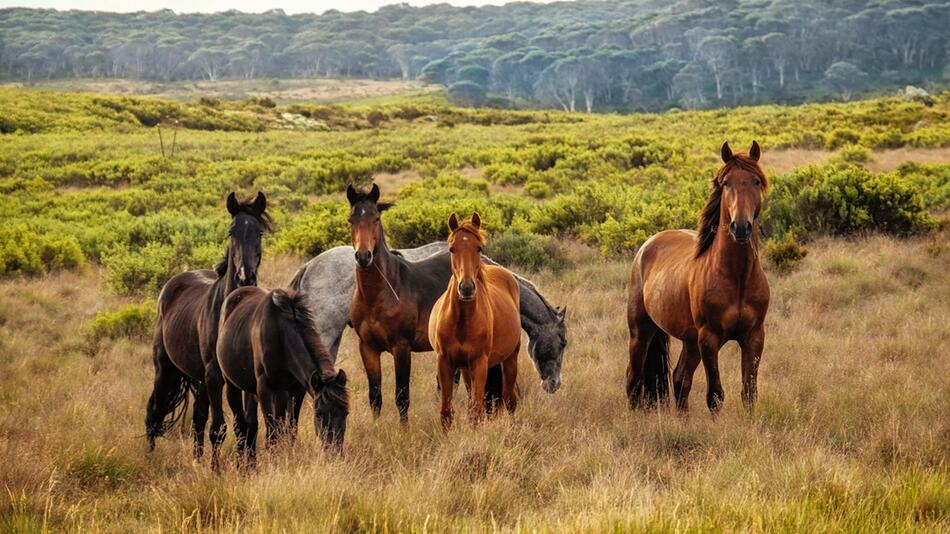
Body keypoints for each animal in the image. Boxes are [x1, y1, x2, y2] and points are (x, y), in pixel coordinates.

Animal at [146, 191, 272, 458]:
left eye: (259, 232)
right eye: (231, 231)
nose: (245, 277)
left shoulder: (244, 378)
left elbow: (248, 426)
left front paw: (247, 463)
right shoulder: (215, 375)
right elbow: (219, 428)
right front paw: (218, 468)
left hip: (199, 379)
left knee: (198, 418)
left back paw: (197, 459)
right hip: (165, 370)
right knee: (154, 411)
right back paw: (149, 457)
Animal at [216, 284, 350, 468]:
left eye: (346, 413)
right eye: (318, 414)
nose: (334, 453)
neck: (281, 335)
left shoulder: (296, 390)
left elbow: (289, 430)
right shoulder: (264, 389)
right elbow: (272, 434)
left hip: (263, 391)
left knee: (253, 424)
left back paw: (251, 464)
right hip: (232, 385)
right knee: (240, 426)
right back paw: (243, 466)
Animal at [430, 215, 520, 432]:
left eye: (479, 247)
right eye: (452, 248)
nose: (467, 288)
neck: (462, 321)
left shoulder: (480, 363)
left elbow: (477, 411)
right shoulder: (445, 362)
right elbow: (446, 412)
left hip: (510, 359)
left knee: (509, 400)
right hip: (465, 368)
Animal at [624, 142, 772, 414]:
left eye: (756, 181)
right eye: (726, 183)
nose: (741, 227)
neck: (737, 277)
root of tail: (647, 245)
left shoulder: (754, 337)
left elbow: (749, 392)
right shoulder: (709, 340)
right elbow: (715, 395)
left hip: (690, 341)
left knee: (679, 379)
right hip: (641, 331)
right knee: (633, 379)